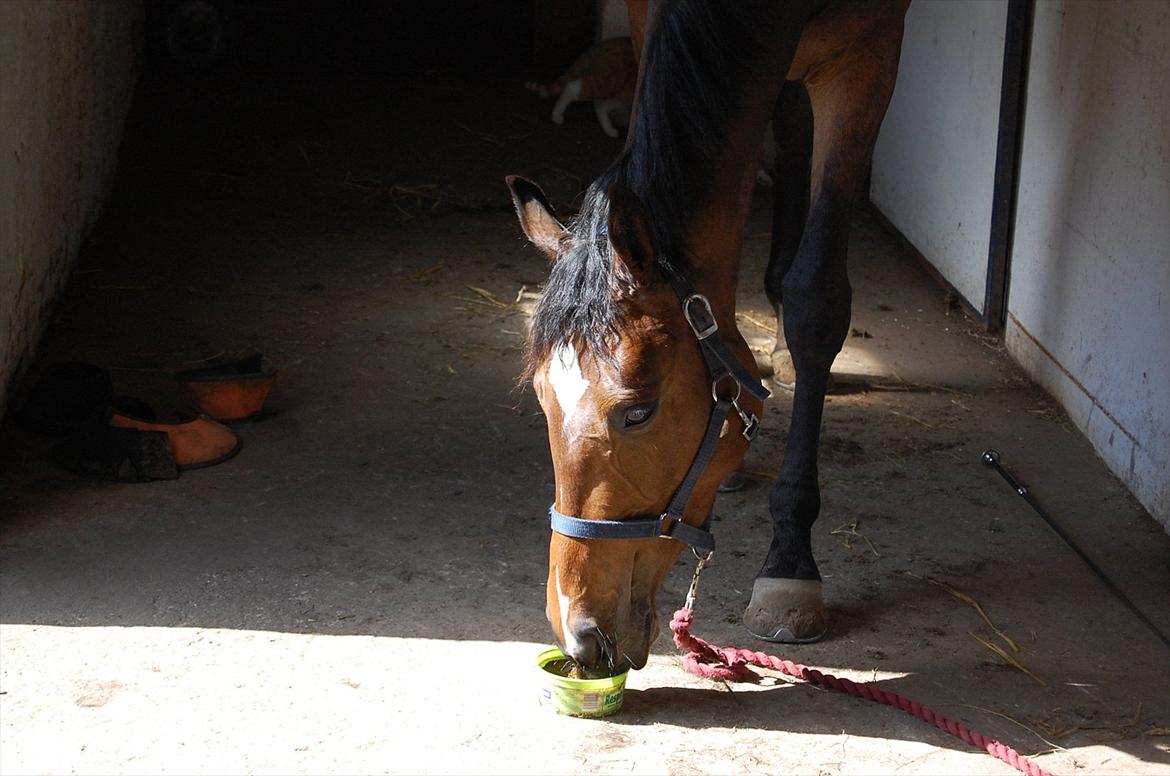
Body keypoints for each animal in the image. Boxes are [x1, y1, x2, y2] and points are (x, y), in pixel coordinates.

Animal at [507, 0, 907, 678]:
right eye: (541, 400)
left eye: (638, 413)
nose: (579, 635)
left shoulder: (870, 53)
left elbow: (817, 301)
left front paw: (790, 563)